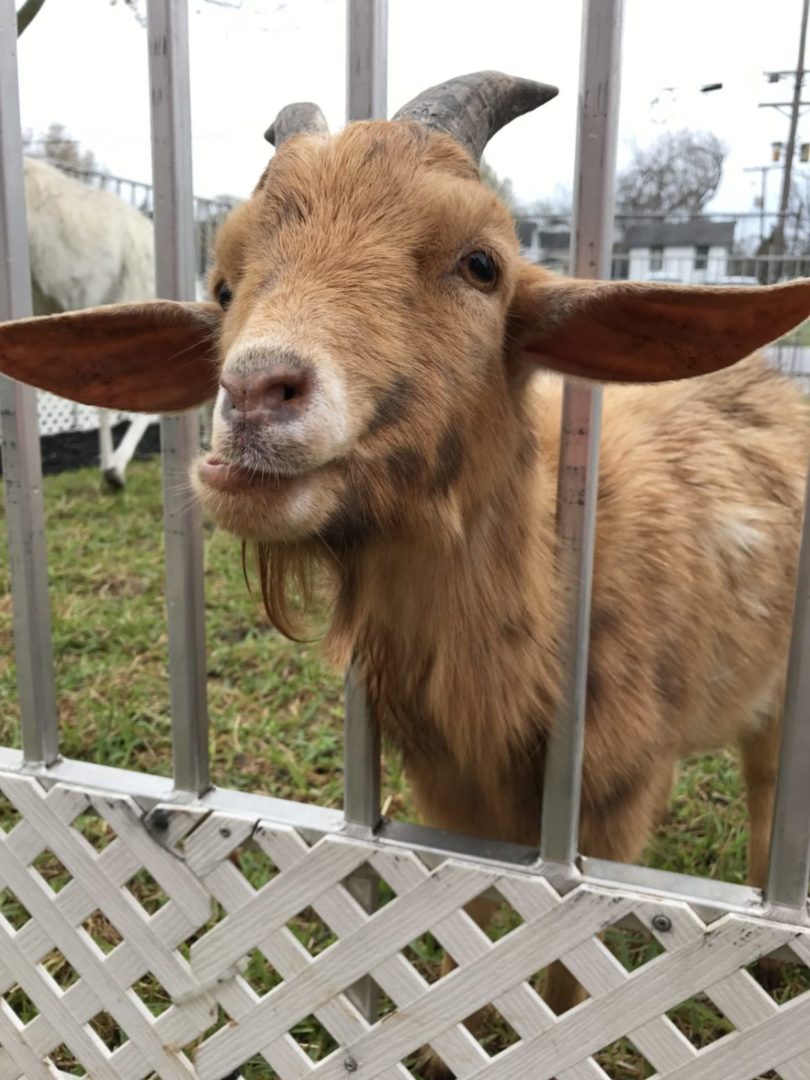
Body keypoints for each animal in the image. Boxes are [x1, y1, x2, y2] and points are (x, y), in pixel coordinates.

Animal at [1, 71, 810, 1041]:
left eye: (482, 265)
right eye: (224, 283)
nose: (256, 392)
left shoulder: (613, 801)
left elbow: (565, 978)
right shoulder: (452, 798)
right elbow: (472, 924)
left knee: (769, 791)